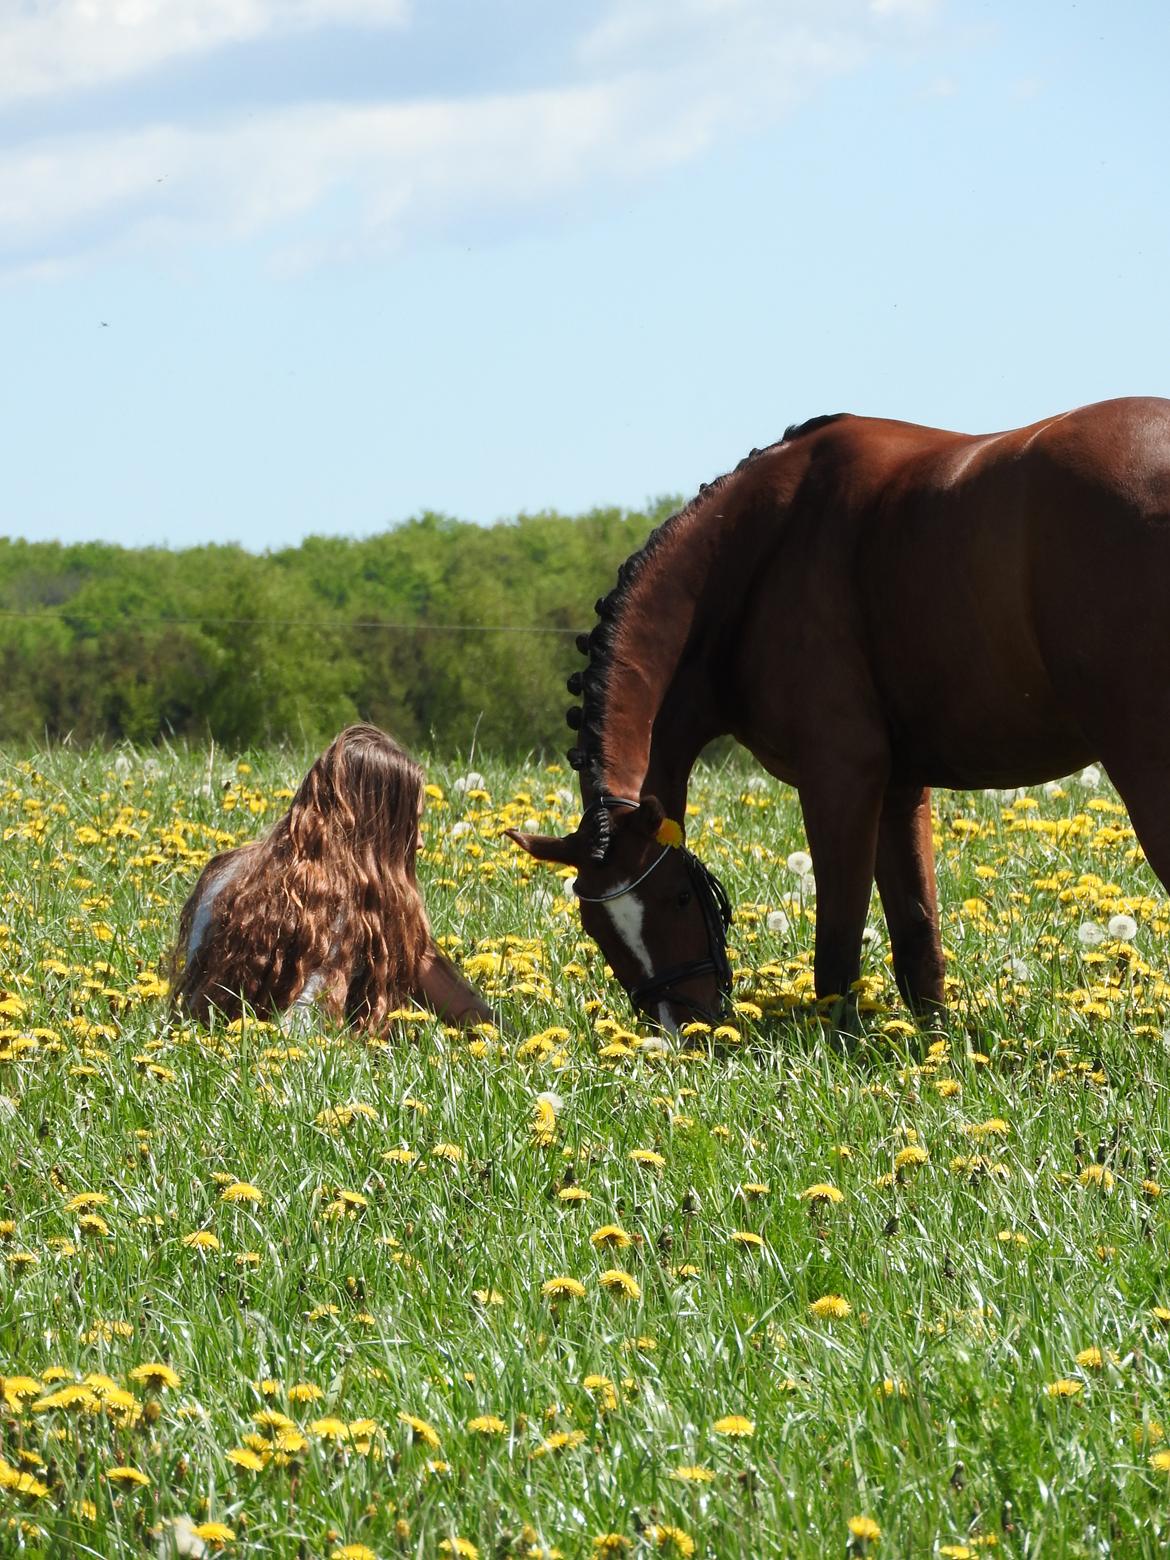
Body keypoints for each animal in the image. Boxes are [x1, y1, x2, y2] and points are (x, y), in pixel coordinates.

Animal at [508, 396, 1170, 1029]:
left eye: (678, 898)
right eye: (597, 927)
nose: (681, 1026)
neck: (762, 546)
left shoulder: (841, 780)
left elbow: (837, 947)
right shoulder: (899, 789)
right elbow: (917, 944)